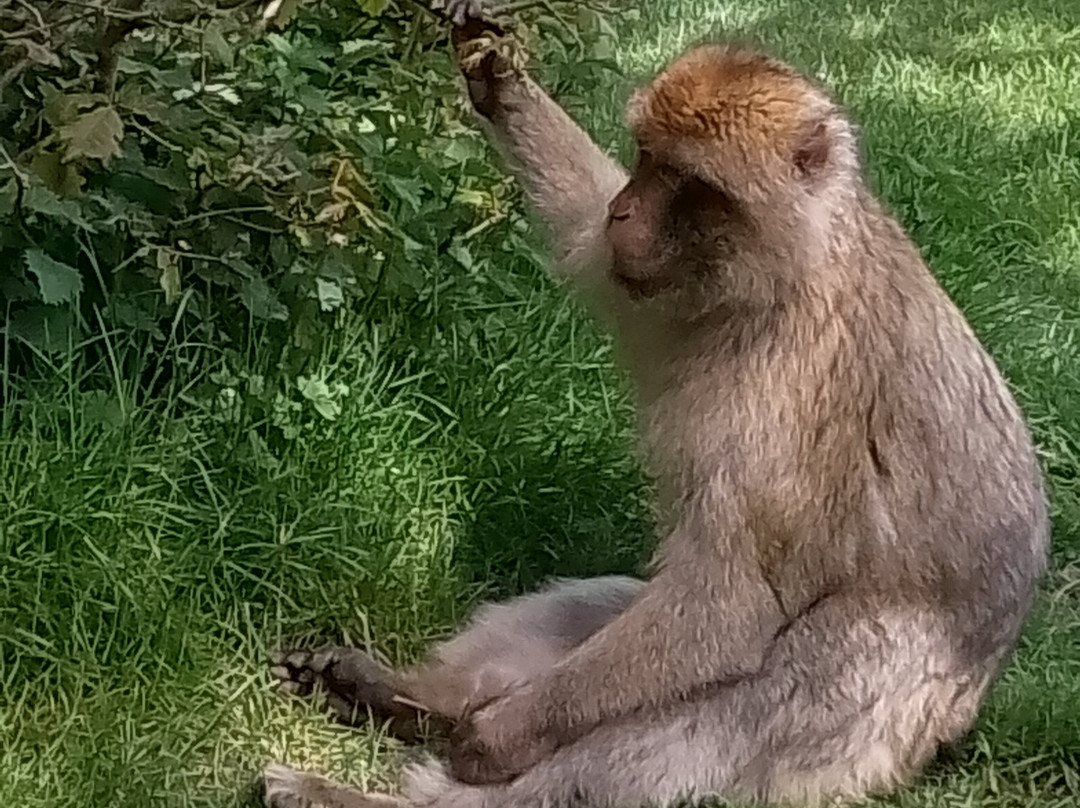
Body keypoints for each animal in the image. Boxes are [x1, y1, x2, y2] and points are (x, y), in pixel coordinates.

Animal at [263, 2, 1050, 806]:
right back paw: (411, 700)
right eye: (644, 158)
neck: (779, 275)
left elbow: (733, 605)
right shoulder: (653, 285)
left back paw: (361, 783)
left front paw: (498, 735)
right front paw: (496, 77)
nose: (625, 211)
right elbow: (581, 229)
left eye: (683, 178)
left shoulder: (786, 396)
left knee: (761, 686)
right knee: (601, 607)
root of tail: (956, 726)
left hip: (855, 730)